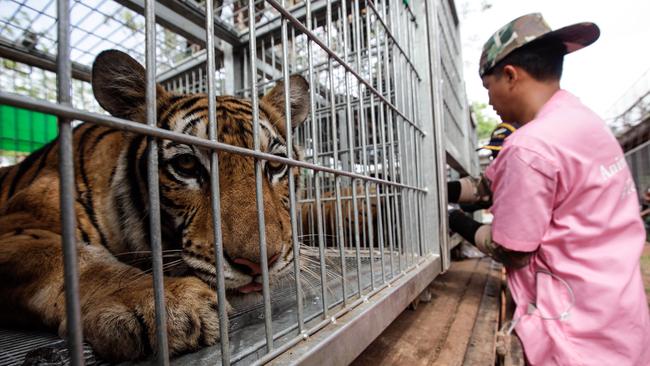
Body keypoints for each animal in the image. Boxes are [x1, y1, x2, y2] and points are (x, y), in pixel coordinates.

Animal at [0, 50, 310, 362]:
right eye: (186, 164)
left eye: (275, 166)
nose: (259, 263)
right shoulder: (19, 225)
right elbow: (78, 261)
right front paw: (162, 303)